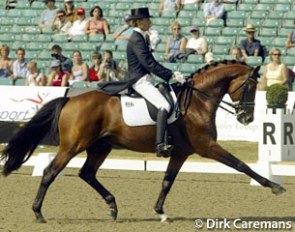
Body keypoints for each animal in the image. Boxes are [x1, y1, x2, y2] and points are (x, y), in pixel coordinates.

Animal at [0, 60, 286, 223]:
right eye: (250, 86)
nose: (247, 118)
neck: (199, 101)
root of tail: (70, 99)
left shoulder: (181, 153)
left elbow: (167, 181)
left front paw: (161, 211)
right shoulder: (207, 147)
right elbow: (241, 165)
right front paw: (274, 186)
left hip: (100, 146)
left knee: (87, 173)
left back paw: (113, 207)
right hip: (73, 146)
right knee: (50, 171)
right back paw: (38, 213)